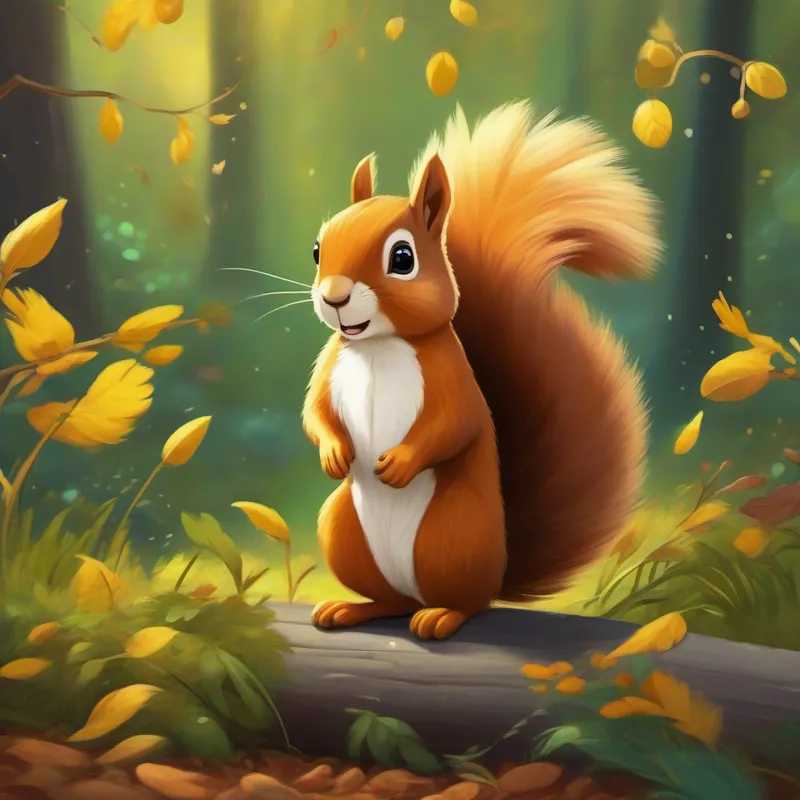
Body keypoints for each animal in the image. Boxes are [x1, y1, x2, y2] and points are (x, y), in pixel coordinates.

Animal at [301, 101, 661, 640]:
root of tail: (499, 569)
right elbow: (315, 412)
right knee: (391, 600)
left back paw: (441, 617)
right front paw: (333, 451)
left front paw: (401, 462)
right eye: (319, 249)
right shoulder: (330, 365)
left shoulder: (452, 375)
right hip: (343, 528)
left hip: (453, 535)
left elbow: (455, 422)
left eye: (402, 258)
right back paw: (351, 609)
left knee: (465, 603)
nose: (334, 297)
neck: (377, 348)